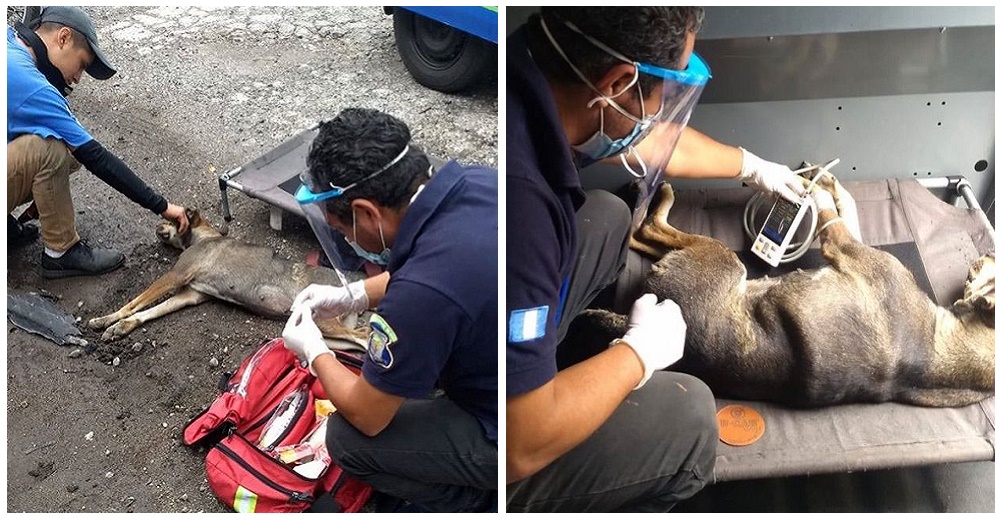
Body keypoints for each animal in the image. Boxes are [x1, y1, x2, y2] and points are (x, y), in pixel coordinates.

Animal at [88, 207, 366, 346]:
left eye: (168, 219)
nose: (157, 225)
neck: (204, 236)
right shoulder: (190, 294)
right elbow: (151, 311)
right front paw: (121, 327)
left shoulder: (176, 275)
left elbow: (133, 303)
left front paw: (106, 319)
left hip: (323, 318)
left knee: (364, 338)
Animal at [576, 173, 996, 408]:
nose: (987, 253)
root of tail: (628, 323)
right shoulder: (850, 245)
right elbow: (847, 206)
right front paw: (827, 181)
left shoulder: (844, 247)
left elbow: (829, 212)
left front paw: (813, 187)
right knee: (640, 234)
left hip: (718, 257)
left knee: (647, 229)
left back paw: (655, 194)